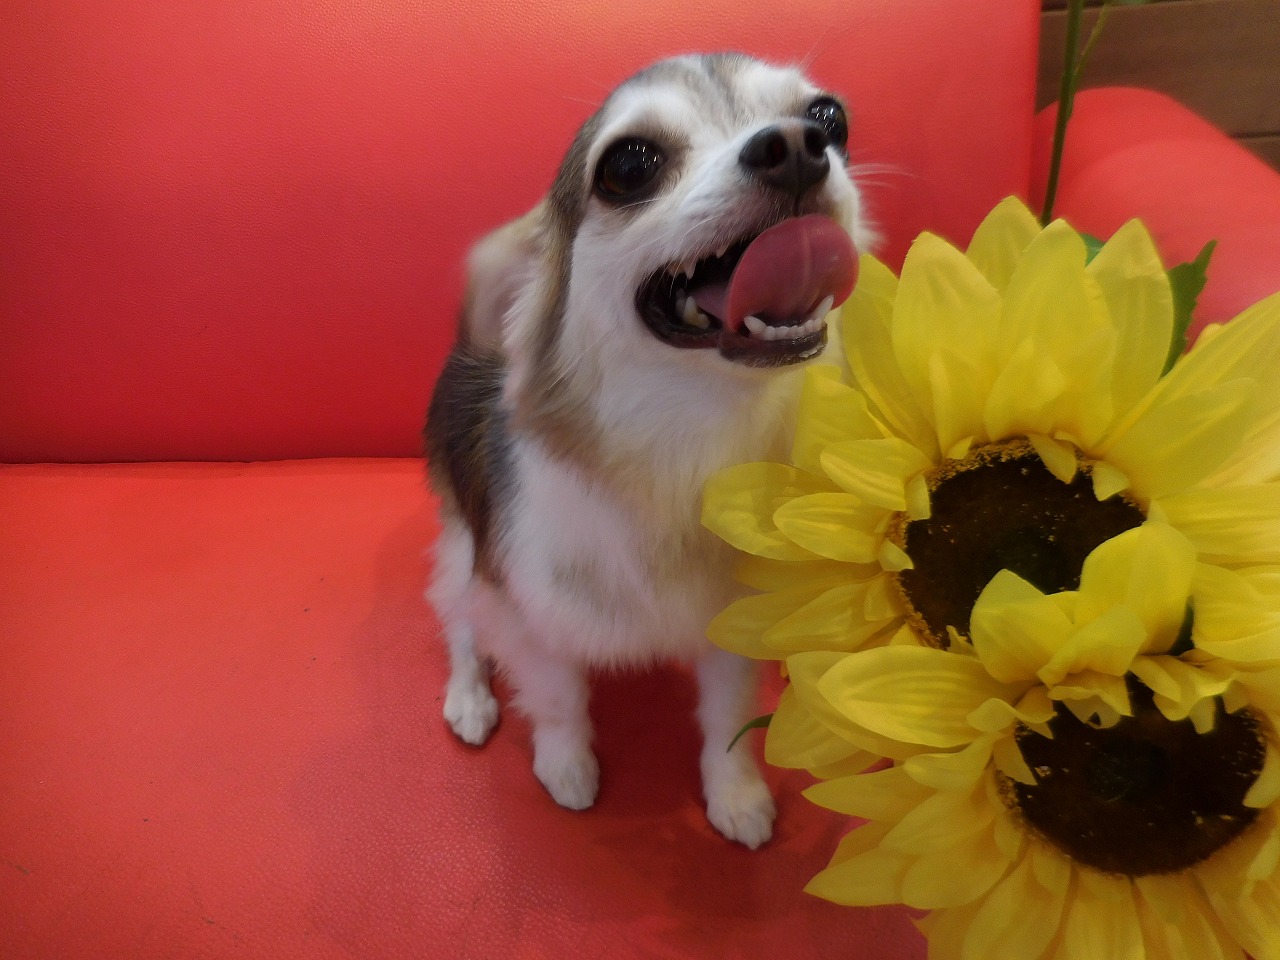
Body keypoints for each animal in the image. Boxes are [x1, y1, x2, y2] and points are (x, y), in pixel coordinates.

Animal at [425, 52, 871, 848]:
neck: (689, 443)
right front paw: (567, 767)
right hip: (461, 545)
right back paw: (470, 698)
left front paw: (735, 792)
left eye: (829, 118)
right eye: (629, 165)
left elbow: (727, 716)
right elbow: (559, 698)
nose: (795, 145)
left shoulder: (730, 621)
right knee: (459, 620)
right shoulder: (525, 607)